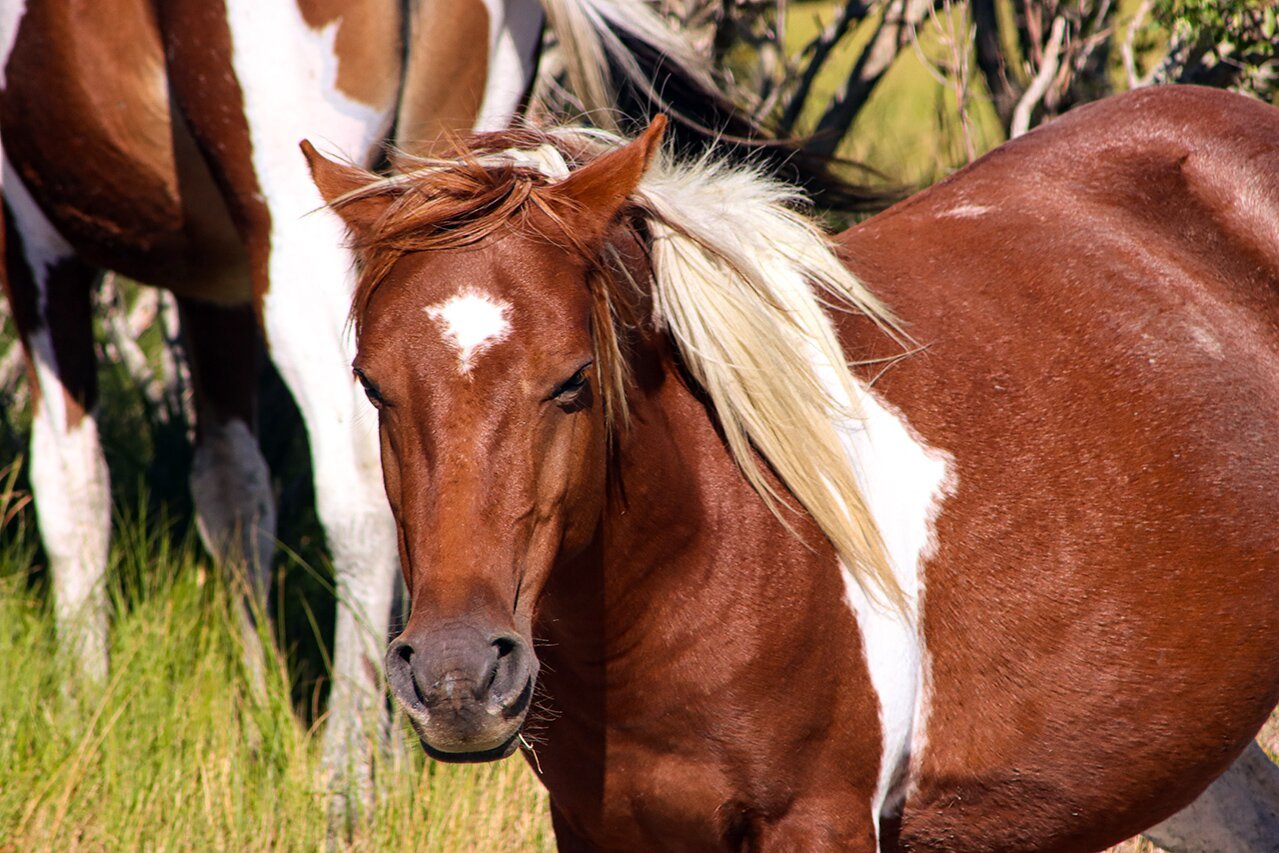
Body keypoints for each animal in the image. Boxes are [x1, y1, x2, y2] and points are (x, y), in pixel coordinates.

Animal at [0, 0, 867, 801]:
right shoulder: (210, 289)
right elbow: (231, 494)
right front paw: (256, 703)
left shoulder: (37, 246)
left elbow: (73, 491)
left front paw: (82, 701)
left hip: (294, 225)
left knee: (351, 489)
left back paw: (351, 770)